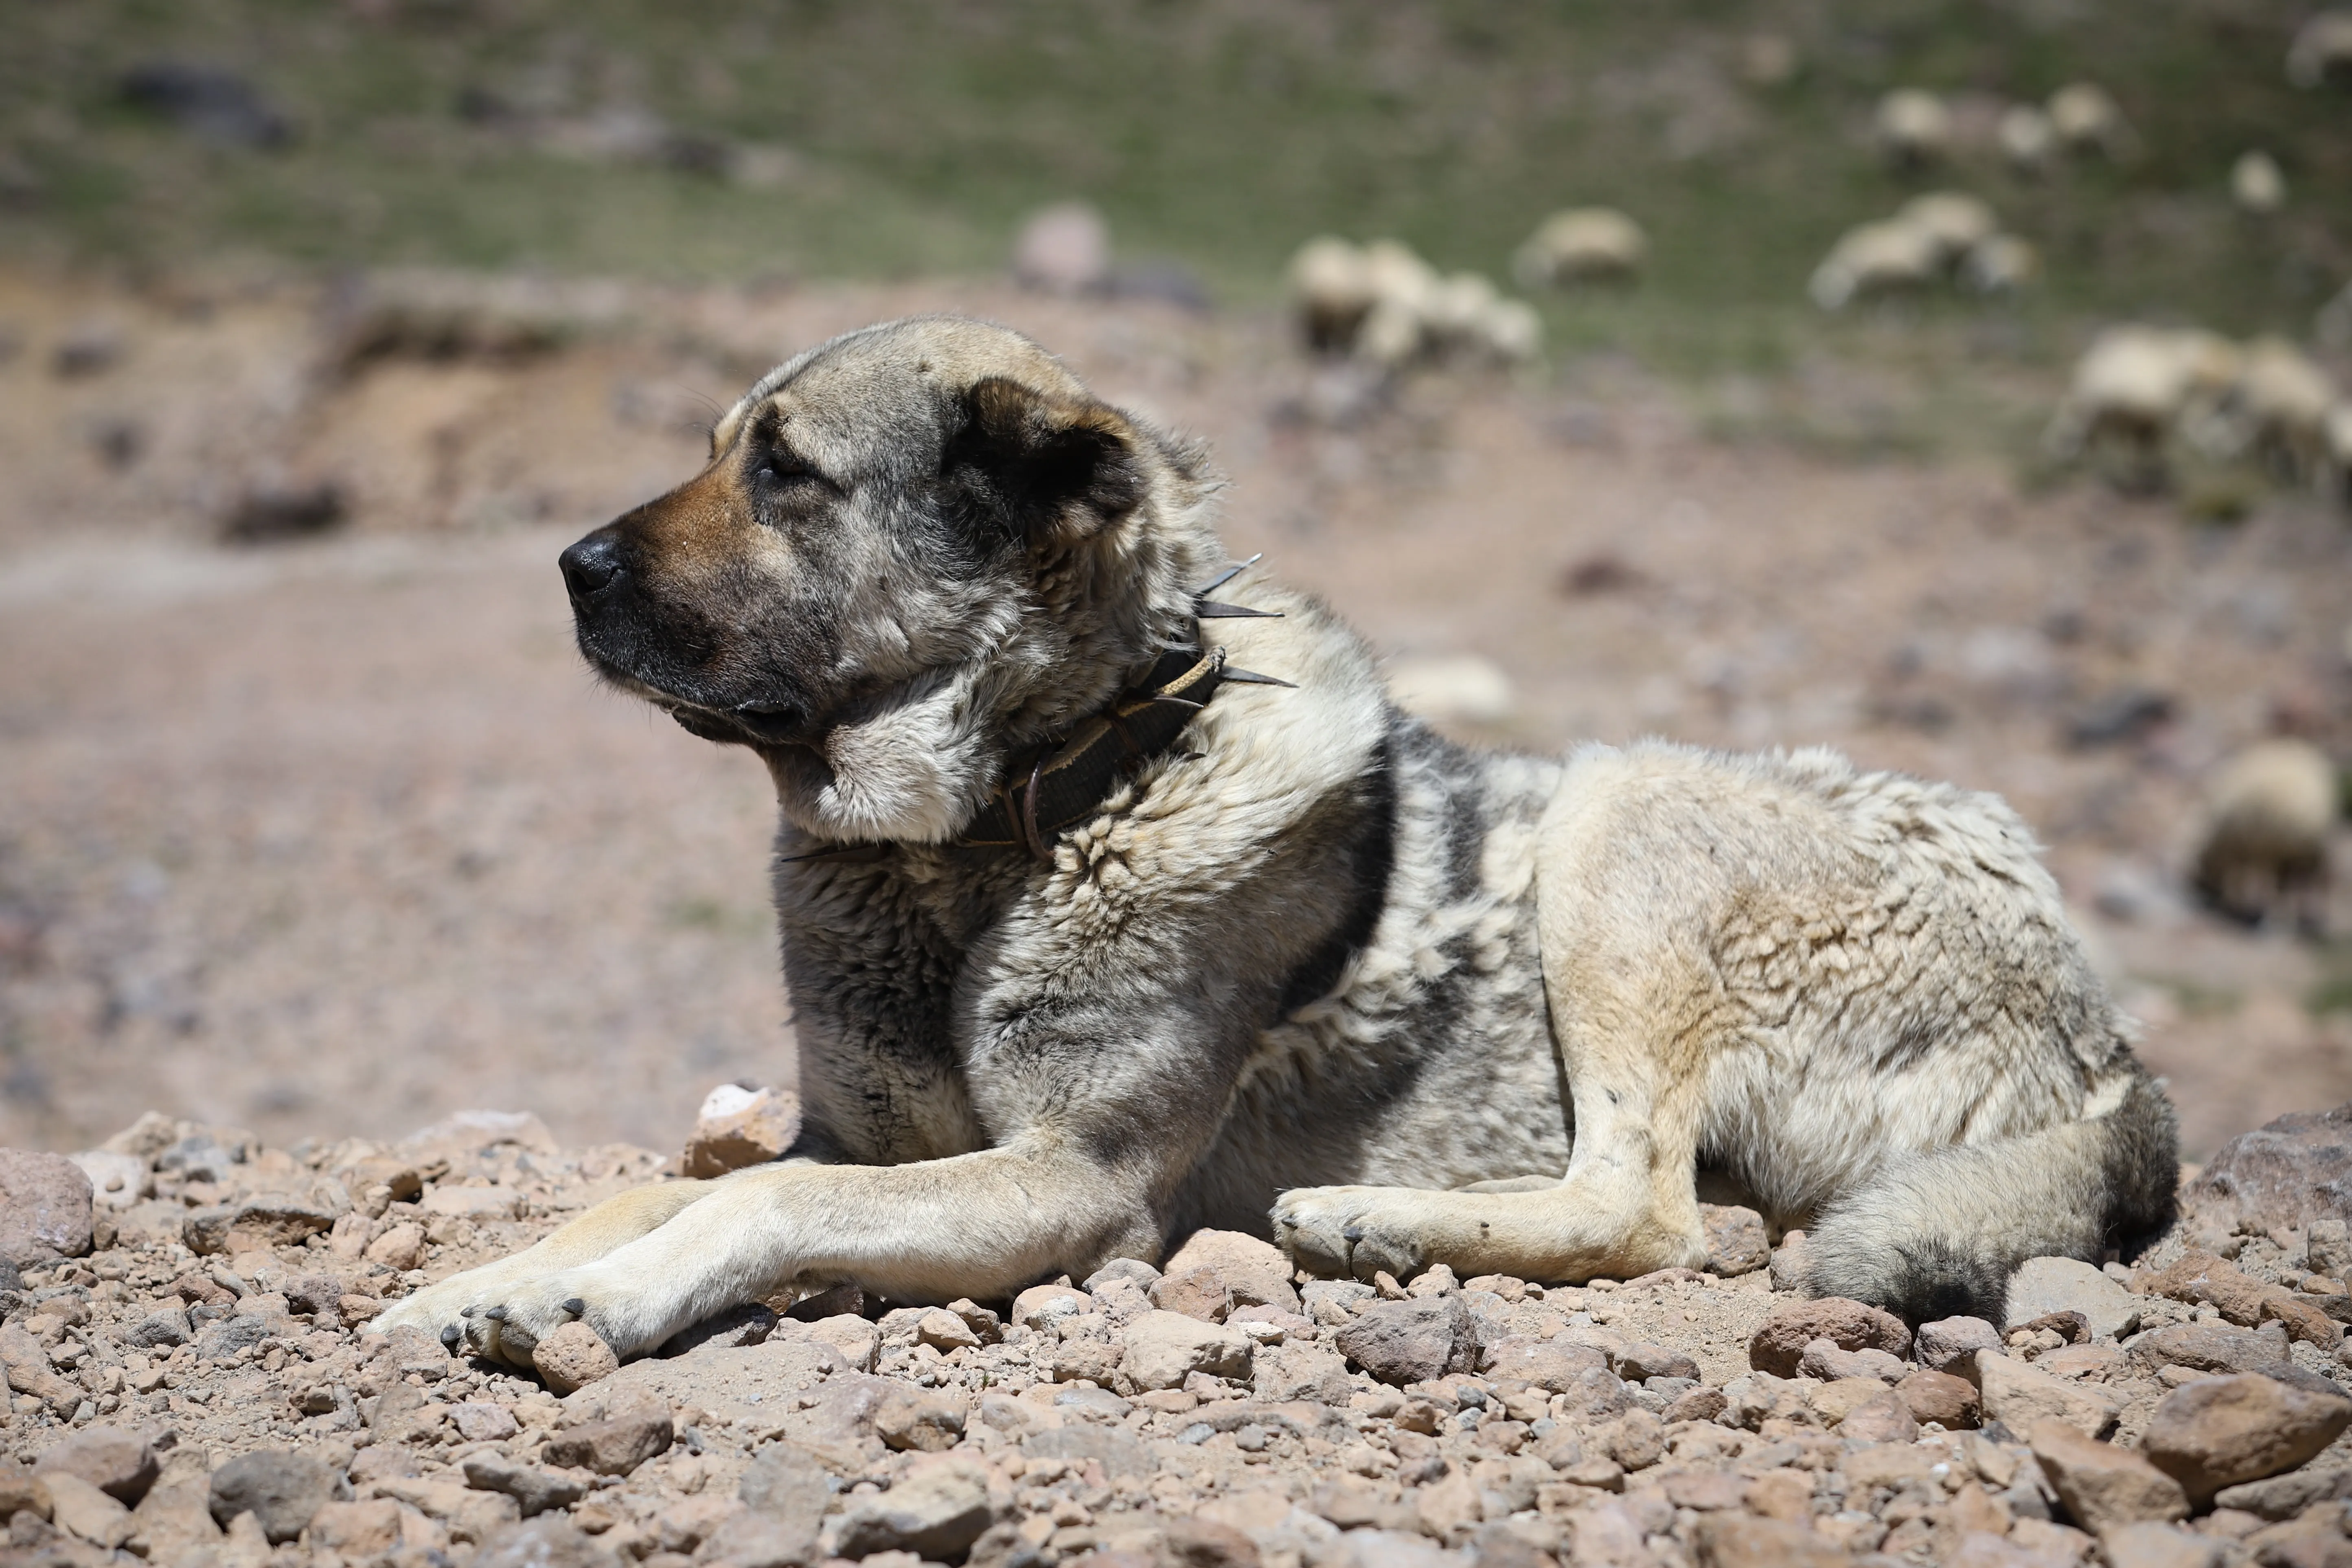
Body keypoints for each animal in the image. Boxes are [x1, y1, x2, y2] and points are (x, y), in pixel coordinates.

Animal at [371, 315, 2183, 1363]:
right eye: (714, 449)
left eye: (785, 470)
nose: (569, 568)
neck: (1017, 815)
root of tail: (2103, 1041)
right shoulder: (852, 1131)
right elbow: (643, 1190)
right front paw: (476, 1282)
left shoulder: (1072, 1181)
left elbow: (750, 1211)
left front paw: (607, 1299)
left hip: (1626, 812)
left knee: (1648, 1208)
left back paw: (1369, 1221)